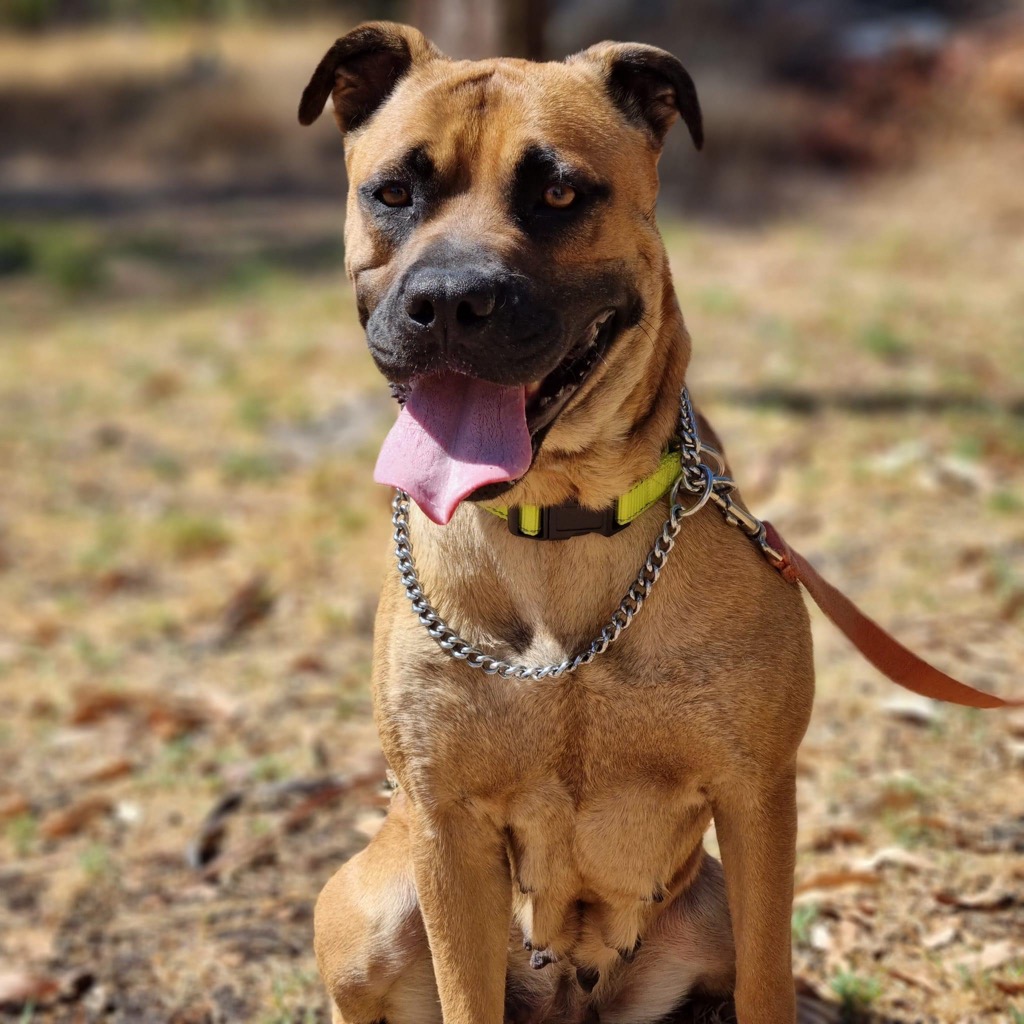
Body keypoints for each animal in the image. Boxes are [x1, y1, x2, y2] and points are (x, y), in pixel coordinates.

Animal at [298, 23, 814, 1024]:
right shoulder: (447, 829)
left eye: (560, 193)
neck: (558, 522)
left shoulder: (758, 798)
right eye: (393, 192)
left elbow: (769, 984)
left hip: (711, 908)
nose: (448, 302)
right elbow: (464, 993)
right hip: (374, 905)